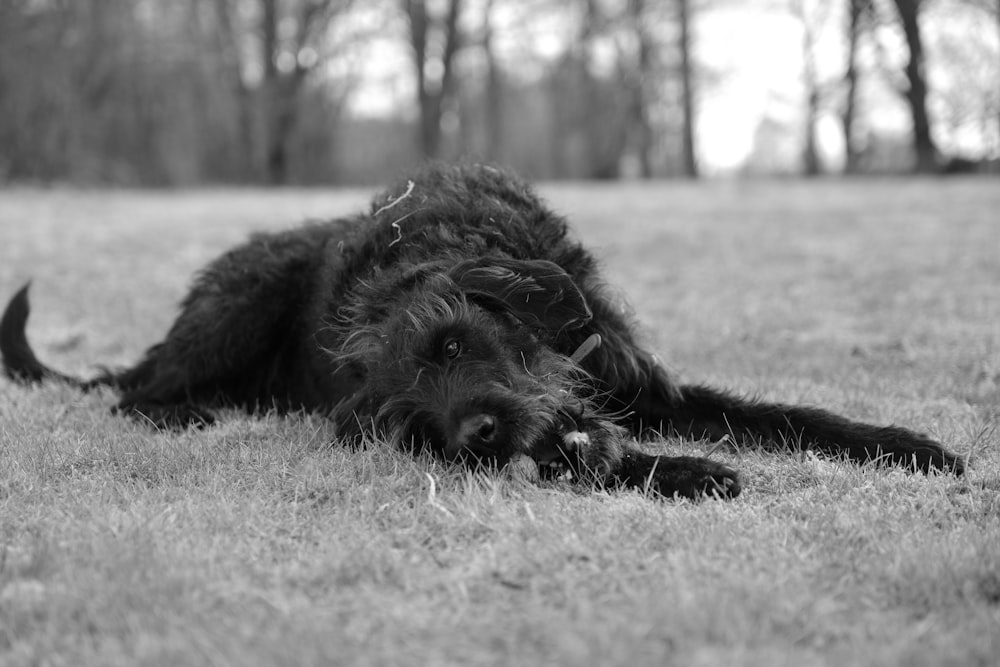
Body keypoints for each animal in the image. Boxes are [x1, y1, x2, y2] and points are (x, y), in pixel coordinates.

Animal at [1, 164, 968, 498]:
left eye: (453, 343)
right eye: (411, 426)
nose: (474, 433)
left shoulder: (640, 382)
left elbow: (793, 417)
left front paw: (913, 446)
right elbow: (587, 457)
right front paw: (688, 471)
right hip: (232, 310)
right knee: (136, 393)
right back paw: (190, 411)